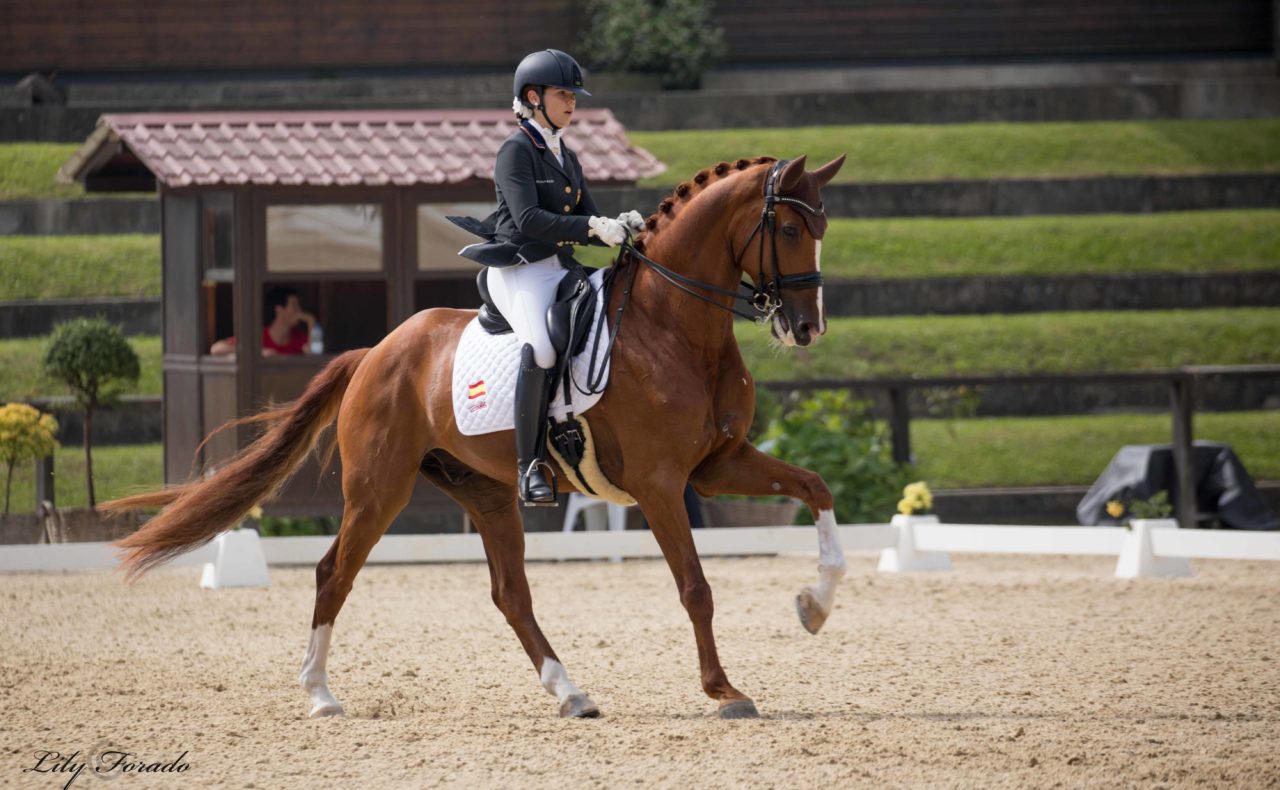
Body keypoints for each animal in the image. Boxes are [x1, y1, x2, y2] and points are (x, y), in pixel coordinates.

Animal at [102, 152, 849, 722]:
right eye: (786, 225)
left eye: (823, 227)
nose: (806, 328)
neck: (674, 326)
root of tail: (374, 352)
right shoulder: (661, 482)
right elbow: (695, 586)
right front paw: (725, 690)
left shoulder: (717, 465)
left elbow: (816, 487)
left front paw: (813, 606)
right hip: (379, 489)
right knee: (333, 572)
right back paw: (319, 695)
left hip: (485, 492)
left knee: (510, 594)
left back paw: (571, 693)